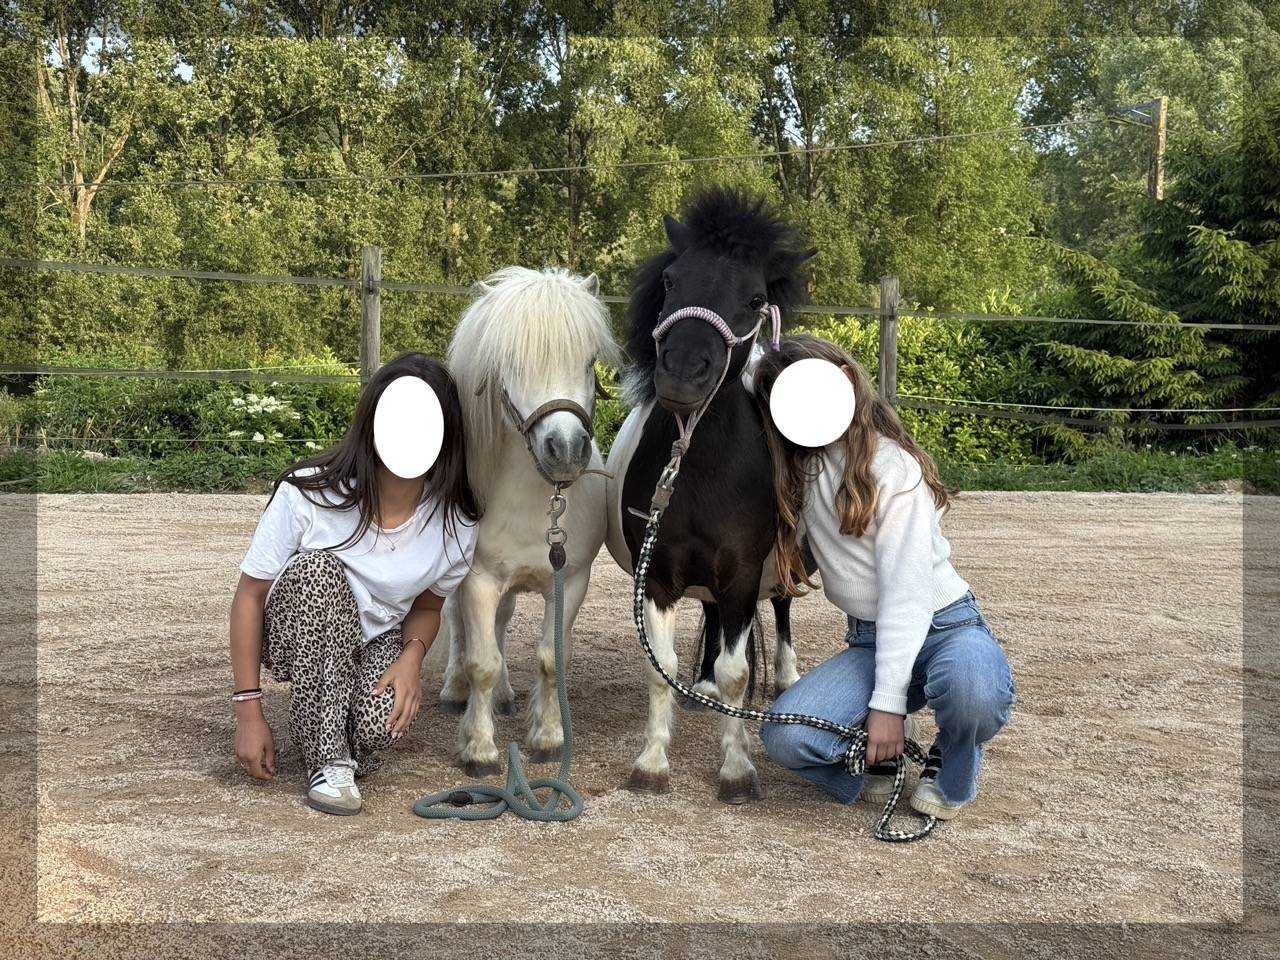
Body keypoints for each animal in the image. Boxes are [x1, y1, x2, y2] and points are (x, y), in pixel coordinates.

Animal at [439, 265, 619, 775]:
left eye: (589, 360)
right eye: (511, 364)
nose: (566, 449)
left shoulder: (570, 580)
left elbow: (550, 659)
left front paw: (549, 738)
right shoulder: (477, 579)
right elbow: (481, 660)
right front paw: (479, 749)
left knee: (500, 626)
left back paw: (502, 697)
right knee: (460, 626)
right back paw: (455, 691)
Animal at [604, 187, 816, 803]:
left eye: (754, 298)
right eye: (671, 279)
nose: (681, 373)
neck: (700, 472)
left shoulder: (743, 573)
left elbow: (738, 671)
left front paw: (737, 770)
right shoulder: (660, 577)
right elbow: (661, 667)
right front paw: (652, 762)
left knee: (782, 607)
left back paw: (786, 678)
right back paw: (701, 688)